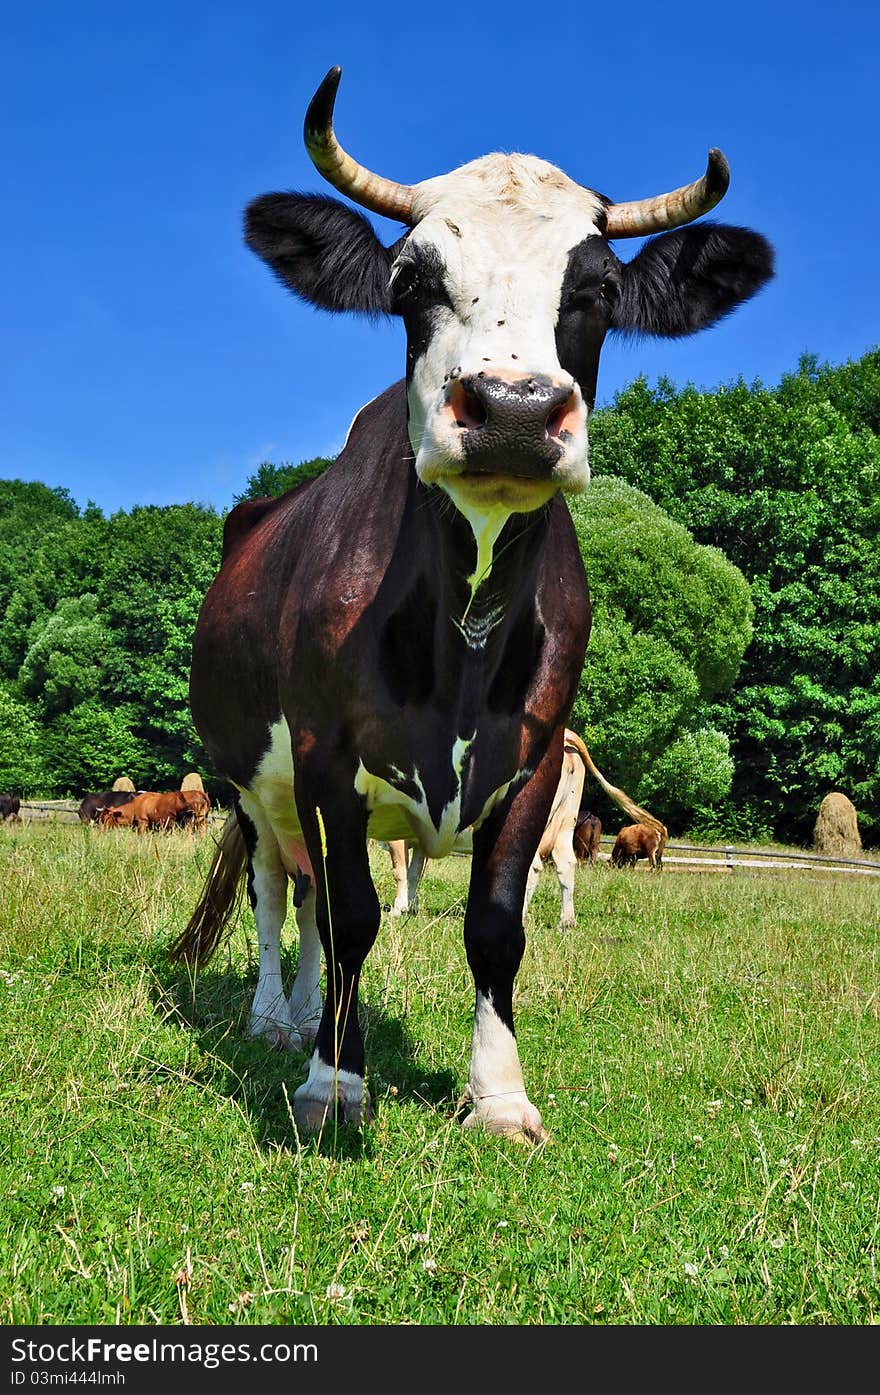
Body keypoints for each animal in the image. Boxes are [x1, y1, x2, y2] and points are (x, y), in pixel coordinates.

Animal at [165, 65, 769, 1143]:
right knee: (281, 893)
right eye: (410, 280)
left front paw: (498, 1094)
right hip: (250, 780)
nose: (515, 411)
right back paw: (279, 1018)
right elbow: (354, 917)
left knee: (308, 893)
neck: (466, 628)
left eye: (599, 289)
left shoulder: (532, 759)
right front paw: (335, 1083)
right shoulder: (323, 756)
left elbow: (495, 926)